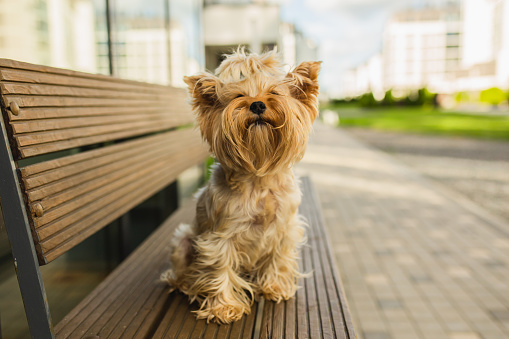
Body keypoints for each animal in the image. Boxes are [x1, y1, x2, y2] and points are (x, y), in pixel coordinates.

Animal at [161, 48, 320, 324]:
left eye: (274, 93)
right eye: (238, 97)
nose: (257, 104)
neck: (259, 176)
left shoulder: (285, 228)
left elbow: (278, 257)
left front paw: (275, 286)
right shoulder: (220, 235)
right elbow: (220, 266)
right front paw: (224, 307)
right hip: (183, 241)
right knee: (180, 272)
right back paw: (188, 284)